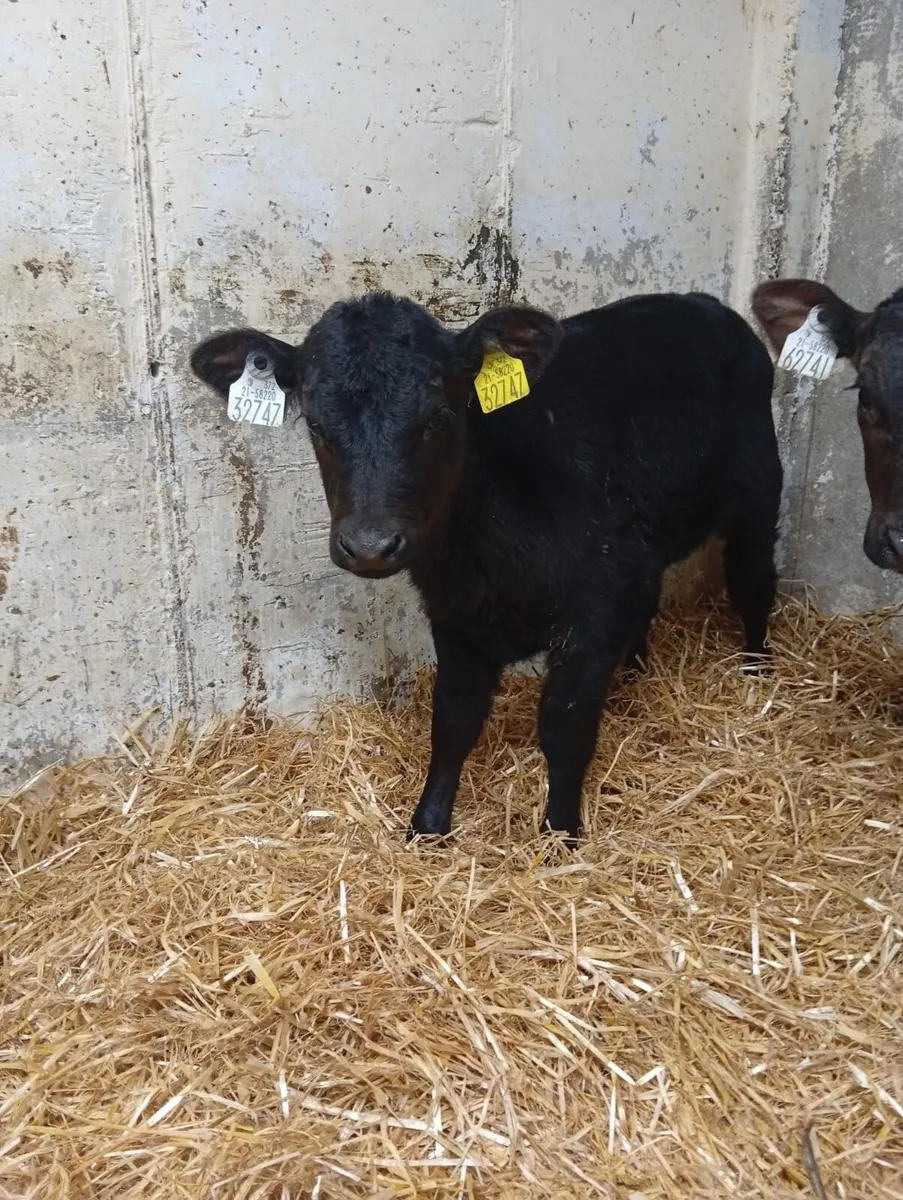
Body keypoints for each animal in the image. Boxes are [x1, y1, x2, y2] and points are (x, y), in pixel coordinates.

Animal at [191, 289, 783, 842]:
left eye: (439, 417)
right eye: (315, 424)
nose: (370, 545)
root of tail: (704, 303)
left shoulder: (594, 606)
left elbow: (564, 724)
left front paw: (560, 833)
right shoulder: (454, 614)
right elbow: (453, 719)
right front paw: (427, 825)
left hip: (758, 491)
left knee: (752, 580)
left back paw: (757, 673)